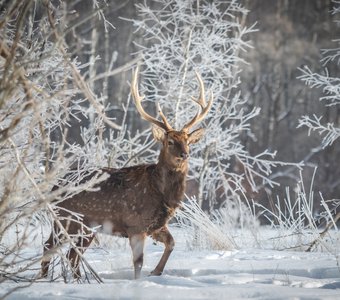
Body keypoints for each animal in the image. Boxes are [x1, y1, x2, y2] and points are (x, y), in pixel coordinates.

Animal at [40, 67, 212, 278]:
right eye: (170, 141)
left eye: (187, 140)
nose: (184, 154)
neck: (161, 194)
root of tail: (54, 187)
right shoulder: (135, 224)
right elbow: (138, 262)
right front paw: (139, 281)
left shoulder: (156, 225)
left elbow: (171, 243)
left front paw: (156, 272)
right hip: (67, 219)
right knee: (50, 246)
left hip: (84, 227)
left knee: (72, 255)